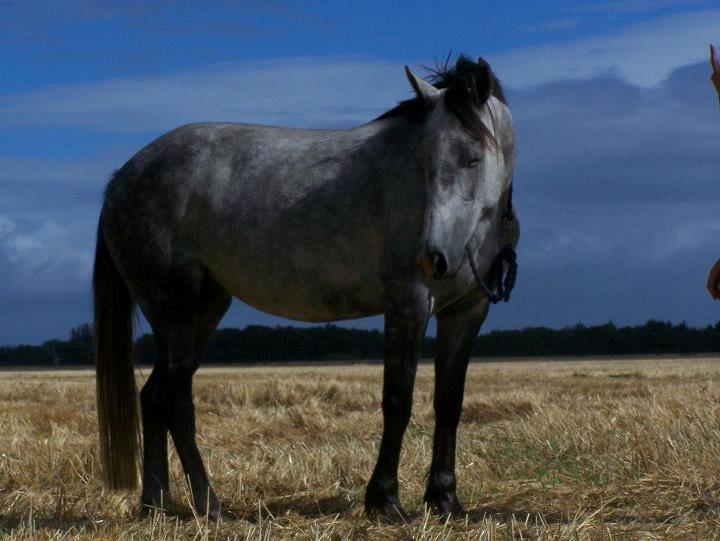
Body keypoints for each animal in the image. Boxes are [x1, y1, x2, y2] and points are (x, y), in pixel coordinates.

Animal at [94, 54, 516, 520]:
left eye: (473, 159)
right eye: (422, 163)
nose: (433, 259)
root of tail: (123, 178)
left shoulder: (466, 311)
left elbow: (449, 402)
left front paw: (444, 500)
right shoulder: (408, 305)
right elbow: (397, 400)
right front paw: (384, 501)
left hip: (204, 309)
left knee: (155, 397)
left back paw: (156, 503)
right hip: (175, 312)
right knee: (174, 401)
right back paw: (209, 504)